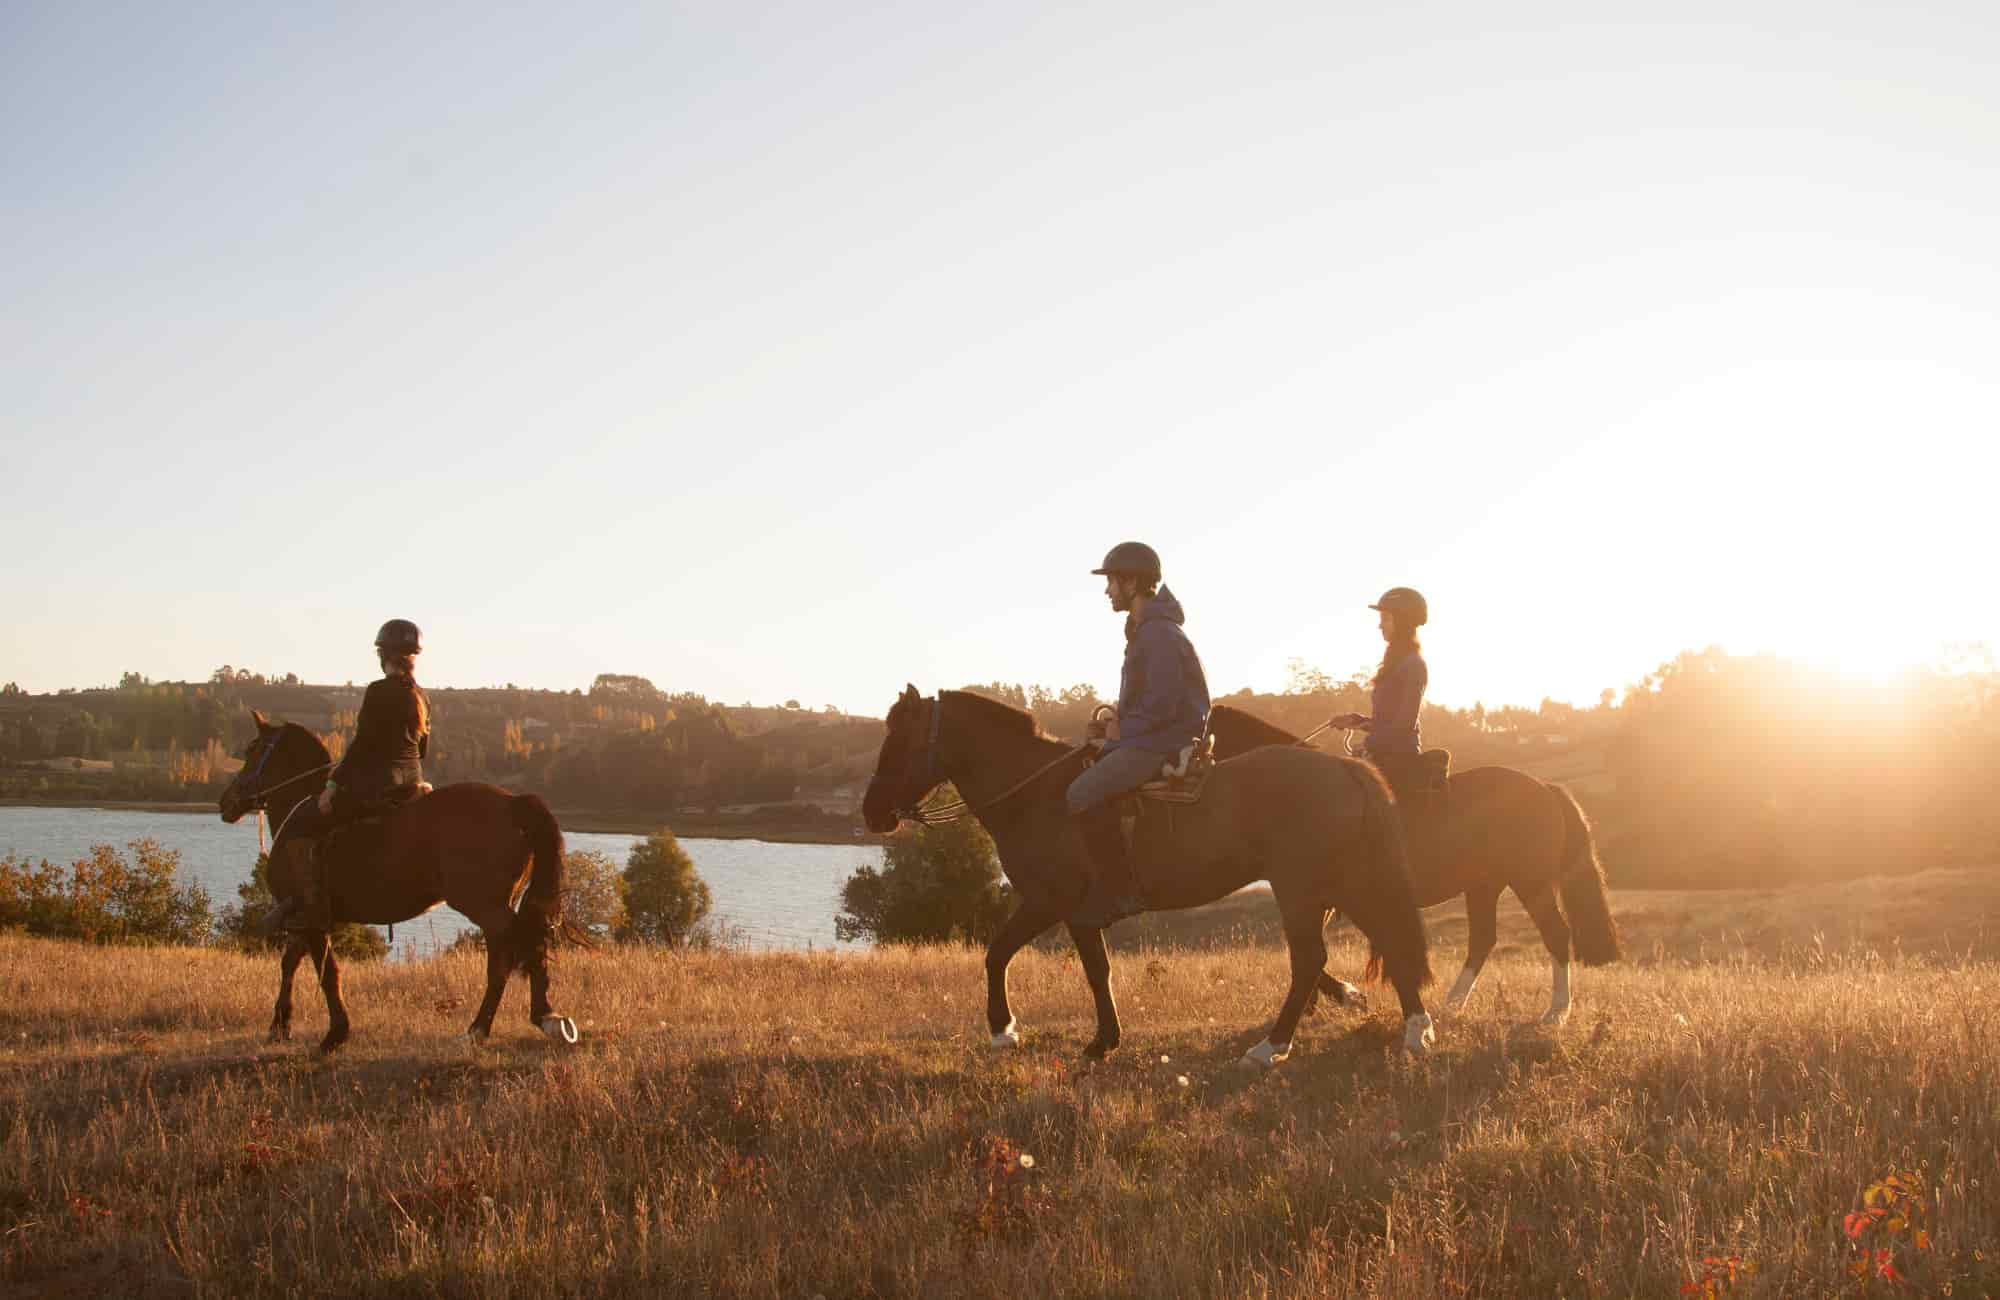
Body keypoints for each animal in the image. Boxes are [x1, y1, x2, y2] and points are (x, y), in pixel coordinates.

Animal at [220, 708, 580, 1056]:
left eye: (252, 750)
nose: (226, 801)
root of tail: (513, 802)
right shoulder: (304, 916)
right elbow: (291, 963)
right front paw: (280, 1025)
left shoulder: (311, 916)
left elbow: (326, 971)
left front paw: (335, 1034)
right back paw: (534, 1019)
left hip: (484, 905)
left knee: (511, 953)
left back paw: (486, 1028)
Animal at [860, 684, 1440, 1056]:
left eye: (901, 740)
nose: (872, 812)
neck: (1039, 796)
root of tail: (1344, 767)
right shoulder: (1060, 909)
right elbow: (1030, 958)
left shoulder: (1056, 903)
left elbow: (1024, 957)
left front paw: (1019, 1030)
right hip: (1344, 879)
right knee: (1387, 938)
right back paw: (1413, 1026)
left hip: (1304, 886)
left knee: (1311, 958)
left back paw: (1273, 1045)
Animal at [1192, 700, 1616, 1024]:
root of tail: (1545, 787)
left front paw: (1345, 996)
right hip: (1483, 885)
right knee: (1482, 940)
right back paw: (1452, 1005)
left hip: (1529, 881)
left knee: (1555, 934)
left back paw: (1556, 1012)